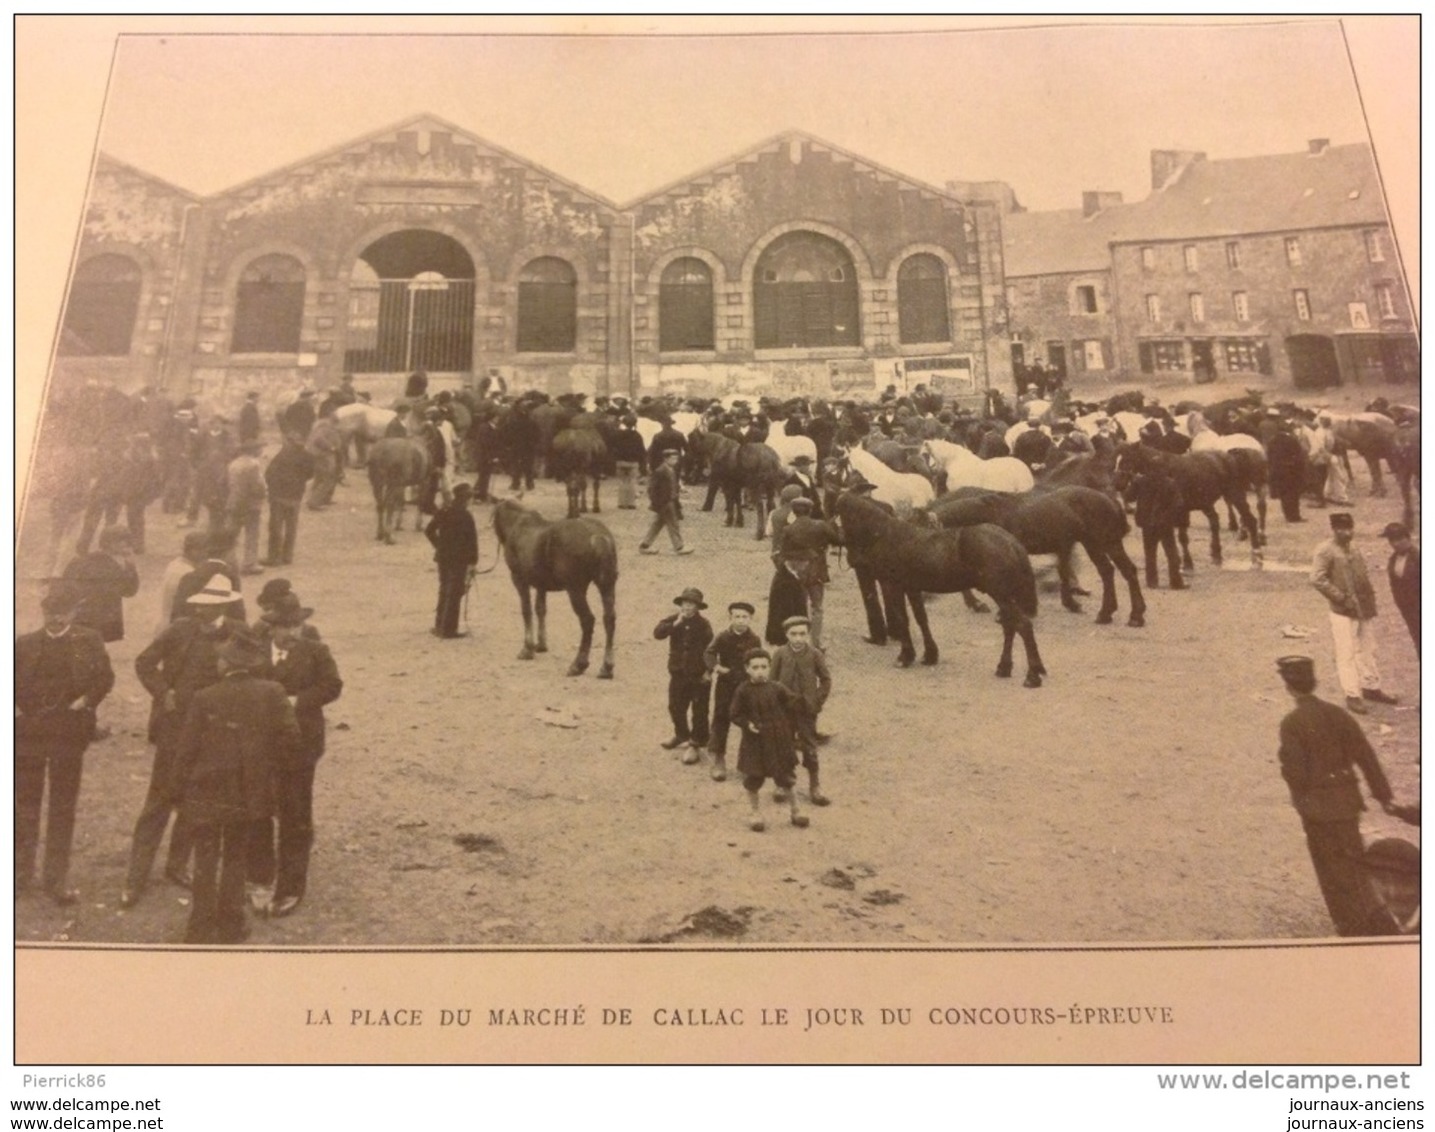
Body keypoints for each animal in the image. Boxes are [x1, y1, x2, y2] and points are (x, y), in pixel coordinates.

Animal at [493, 499, 617, 674]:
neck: (518, 525)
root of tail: (598, 536)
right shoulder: (541, 584)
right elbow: (540, 609)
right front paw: (541, 645)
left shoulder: (520, 580)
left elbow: (527, 611)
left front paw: (527, 649)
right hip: (607, 586)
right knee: (609, 619)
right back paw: (606, 667)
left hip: (576, 590)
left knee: (588, 621)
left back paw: (579, 664)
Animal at [832, 490, 1044, 685]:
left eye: (841, 517)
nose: (852, 560)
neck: (886, 534)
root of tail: (1012, 542)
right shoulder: (912, 588)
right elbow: (921, 618)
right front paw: (929, 655)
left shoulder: (893, 586)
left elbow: (903, 620)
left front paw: (905, 657)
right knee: (1010, 626)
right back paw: (1004, 667)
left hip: (1002, 595)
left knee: (1022, 625)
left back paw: (1032, 675)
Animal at [924, 484, 1148, 628]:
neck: (987, 514)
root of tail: (1109, 500)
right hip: (1099, 543)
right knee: (1115, 571)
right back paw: (1116, 614)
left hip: (1101, 542)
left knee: (1118, 571)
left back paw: (1126, 615)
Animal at [1113, 444, 1262, 571]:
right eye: (1116, 460)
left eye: (1127, 459)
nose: (1117, 484)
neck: (1165, 471)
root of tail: (1230, 456)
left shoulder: (1181, 511)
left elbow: (1182, 537)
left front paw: (1187, 564)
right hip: (1205, 502)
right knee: (1215, 522)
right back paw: (1216, 555)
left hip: (1235, 494)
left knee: (1250, 520)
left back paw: (1257, 557)